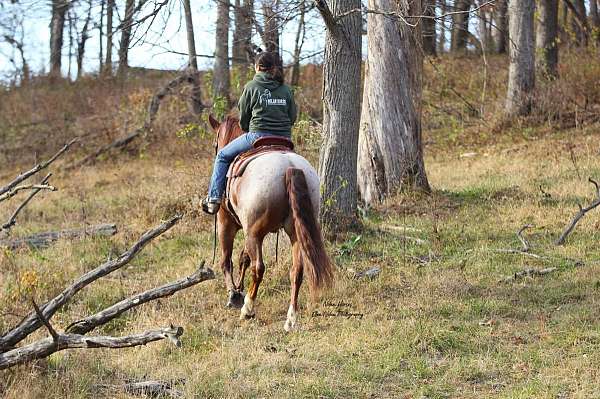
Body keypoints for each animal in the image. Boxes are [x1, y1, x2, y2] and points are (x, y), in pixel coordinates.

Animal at [207, 114, 336, 332]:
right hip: (295, 232)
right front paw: (239, 289)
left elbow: (227, 260)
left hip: (254, 233)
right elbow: (243, 258)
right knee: (296, 271)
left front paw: (234, 294)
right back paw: (290, 319)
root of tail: (289, 166)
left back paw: (248, 310)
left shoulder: (227, 222)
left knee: (258, 268)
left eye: (216, 145)